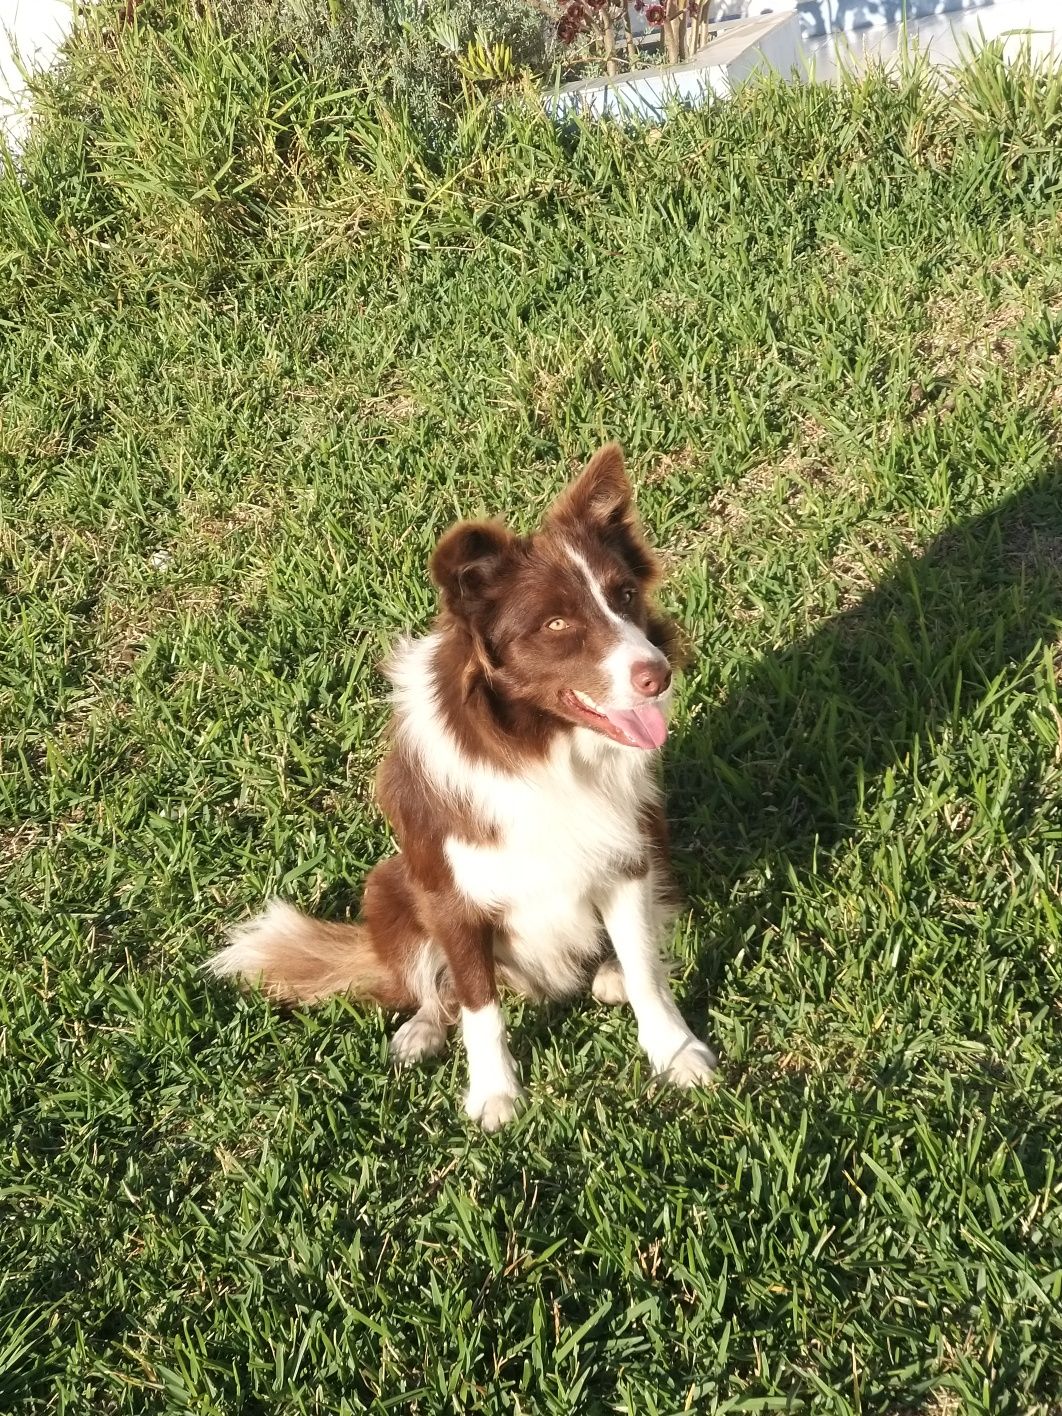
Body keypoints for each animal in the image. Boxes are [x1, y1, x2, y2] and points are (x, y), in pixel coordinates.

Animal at [209, 441, 716, 1127]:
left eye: (627, 595)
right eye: (557, 625)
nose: (657, 675)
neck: (541, 751)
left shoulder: (628, 856)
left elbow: (645, 969)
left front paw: (676, 1053)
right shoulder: (453, 896)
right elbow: (479, 1005)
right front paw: (494, 1095)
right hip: (390, 884)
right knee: (438, 986)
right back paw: (424, 1027)